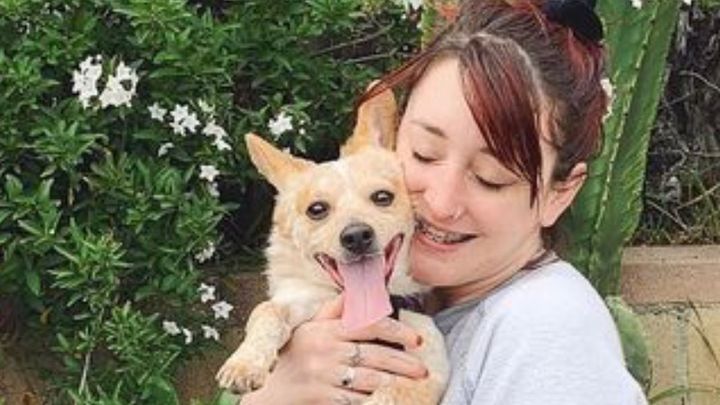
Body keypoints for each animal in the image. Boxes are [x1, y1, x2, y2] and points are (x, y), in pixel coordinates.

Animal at [216, 86, 448, 404]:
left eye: (383, 197)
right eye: (317, 209)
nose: (357, 236)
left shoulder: (428, 370)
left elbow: (392, 392)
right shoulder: (299, 306)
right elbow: (266, 311)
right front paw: (244, 363)